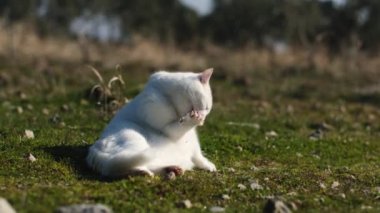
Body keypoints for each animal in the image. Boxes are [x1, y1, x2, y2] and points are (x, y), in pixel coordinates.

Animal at [87, 68, 217, 176]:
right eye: (206, 108)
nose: (204, 118)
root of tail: (93, 152)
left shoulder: (192, 141)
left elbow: (198, 156)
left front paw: (209, 166)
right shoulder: (168, 128)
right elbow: (179, 127)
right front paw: (194, 119)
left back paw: (172, 169)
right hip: (133, 141)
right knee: (128, 167)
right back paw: (143, 171)